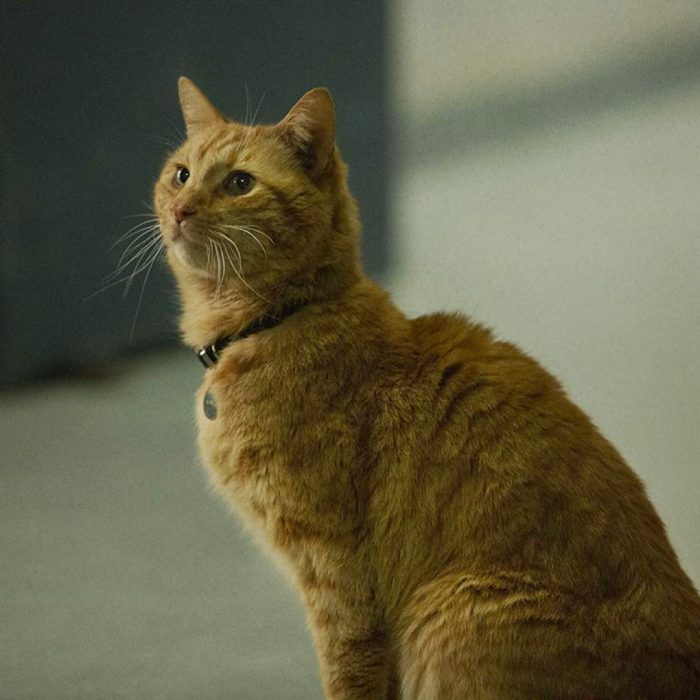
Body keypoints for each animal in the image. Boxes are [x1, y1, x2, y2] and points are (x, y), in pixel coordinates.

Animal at [153, 76, 700, 699]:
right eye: (181, 174)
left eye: (240, 183)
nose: (180, 208)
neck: (279, 319)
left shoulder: (339, 584)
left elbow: (349, 679)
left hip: (444, 613)